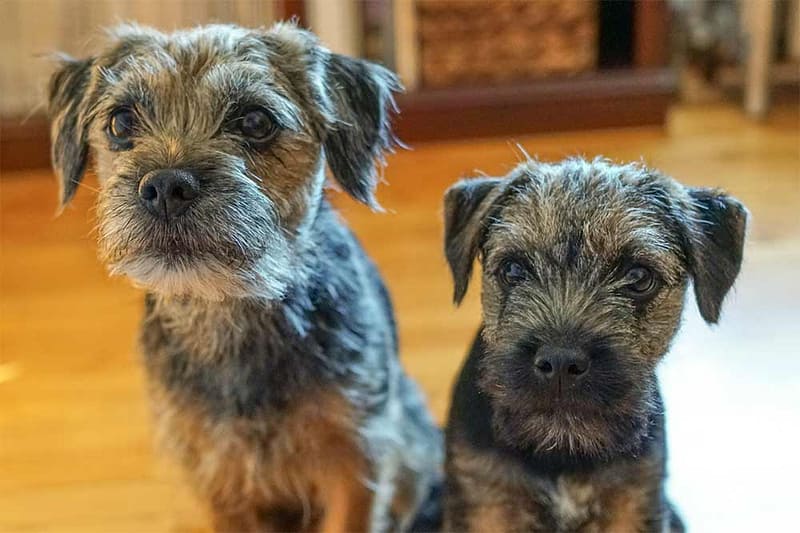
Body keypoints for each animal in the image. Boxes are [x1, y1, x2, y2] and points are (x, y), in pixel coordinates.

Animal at [48, 21, 444, 532]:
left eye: (255, 122)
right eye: (121, 123)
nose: (166, 186)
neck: (230, 309)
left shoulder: (355, 463)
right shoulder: (217, 473)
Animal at [440, 158, 748, 532]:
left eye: (639, 277)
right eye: (513, 269)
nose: (560, 362)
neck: (563, 456)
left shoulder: (633, 499)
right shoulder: (486, 501)